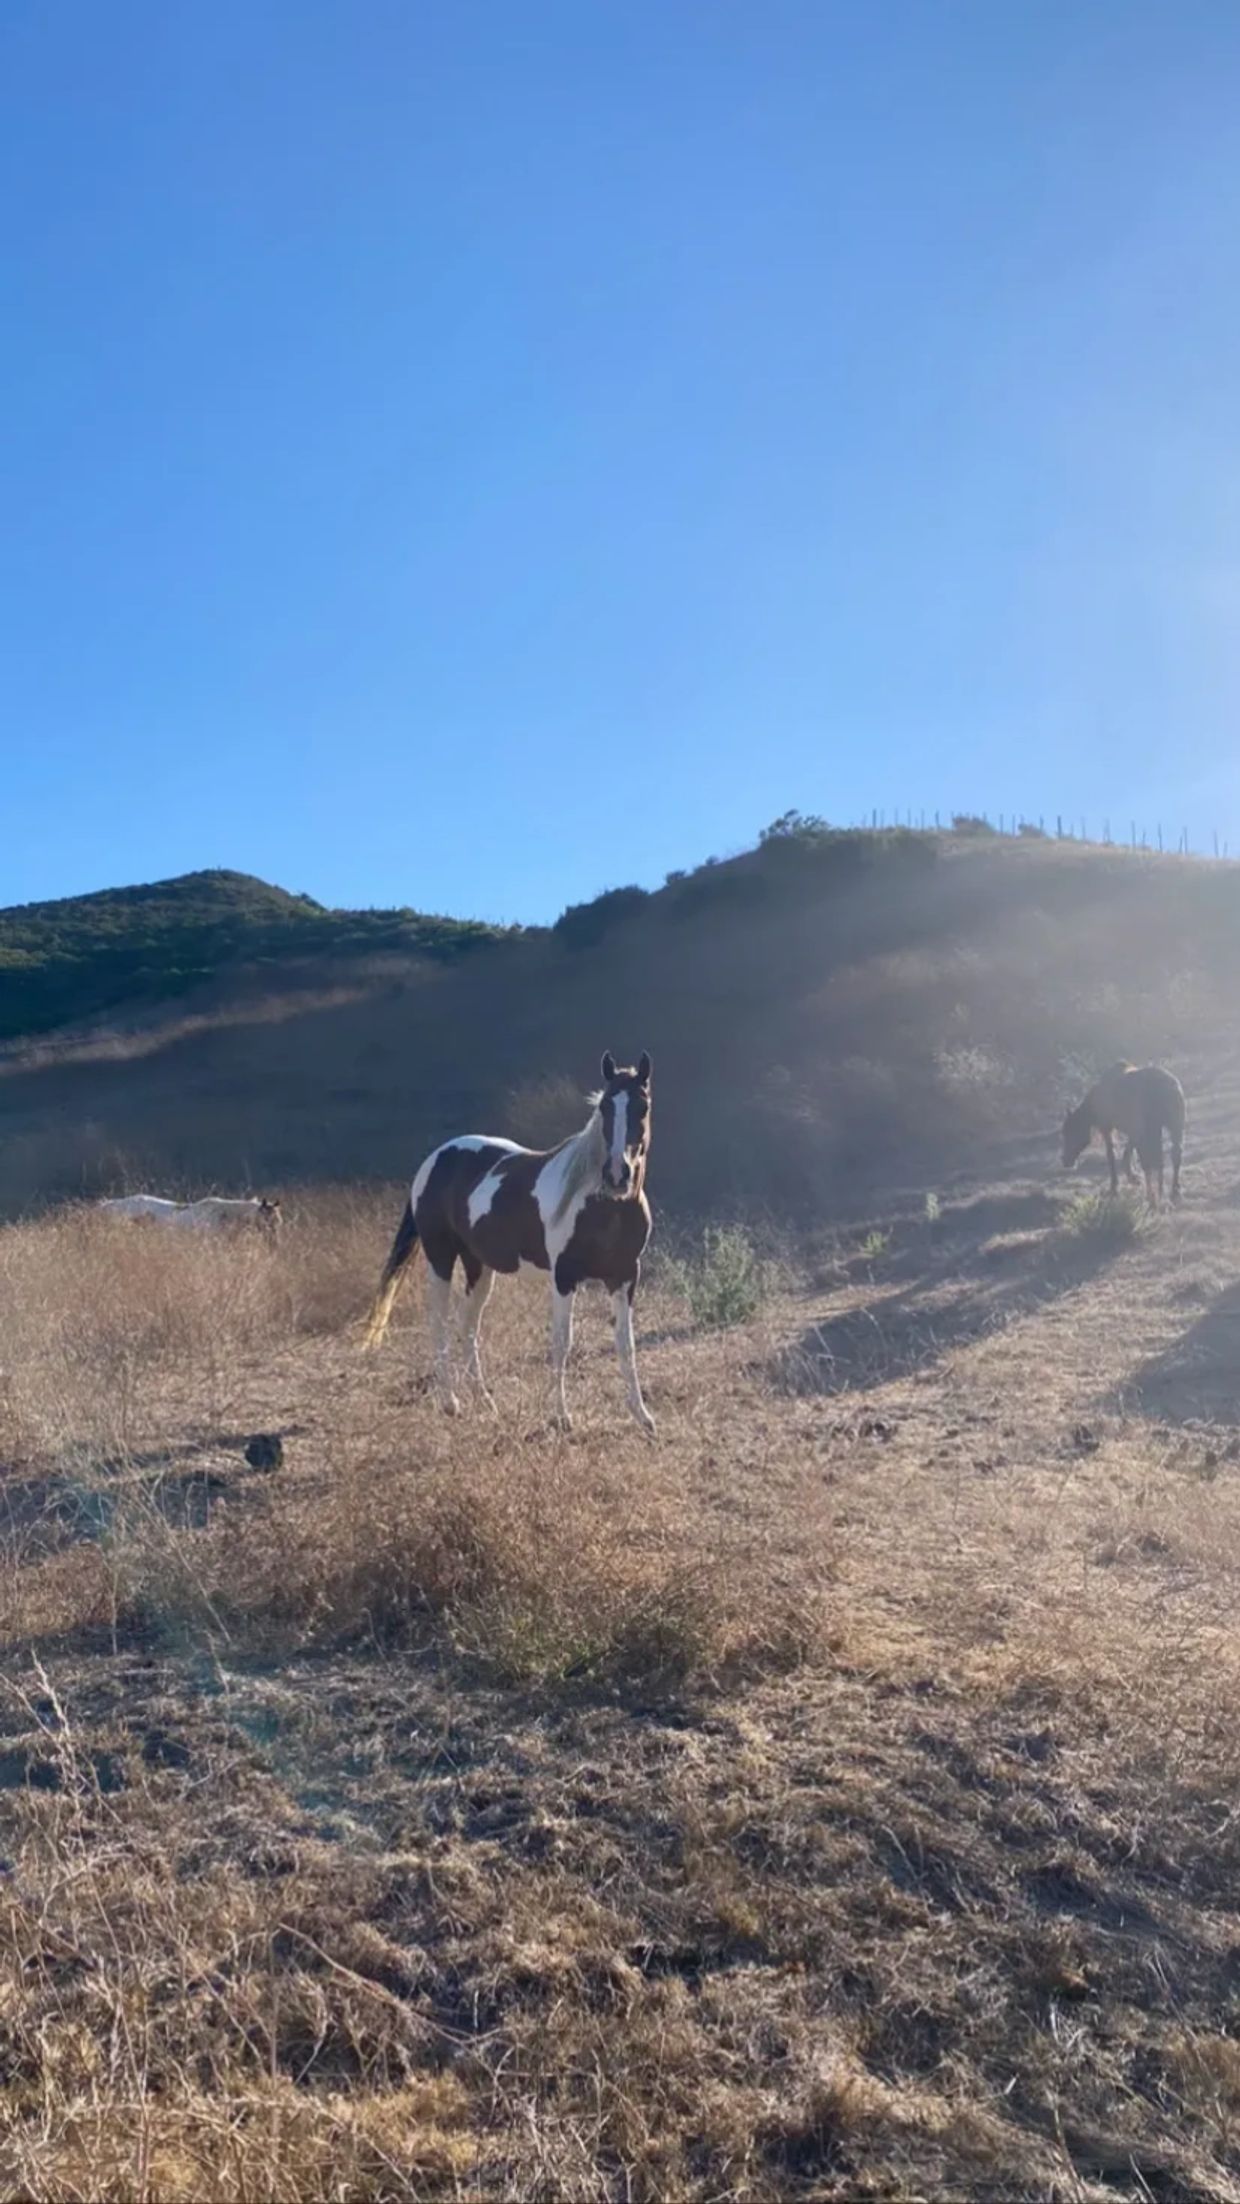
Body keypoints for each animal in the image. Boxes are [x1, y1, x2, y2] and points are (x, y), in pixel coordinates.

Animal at [361, 1057, 660, 1437]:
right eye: (605, 1107)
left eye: (642, 1106)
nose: (618, 1174)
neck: (603, 1205)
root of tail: (436, 1158)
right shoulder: (564, 1277)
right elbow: (562, 1342)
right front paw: (561, 1417)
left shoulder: (624, 1277)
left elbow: (625, 1343)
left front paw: (643, 1417)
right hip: (441, 1257)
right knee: (439, 1322)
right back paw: (450, 1402)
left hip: (479, 1266)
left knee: (467, 1324)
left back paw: (485, 1400)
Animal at [1061, 1062, 1189, 1207]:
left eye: (1069, 1132)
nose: (1065, 1161)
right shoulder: (1135, 1133)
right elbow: (1128, 1152)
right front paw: (1132, 1177)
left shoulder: (1108, 1129)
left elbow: (1112, 1155)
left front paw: (1115, 1187)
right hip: (1175, 1128)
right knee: (1173, 1156)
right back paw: (1173, 1191)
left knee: (1150, 1162)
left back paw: (1151, 1197)